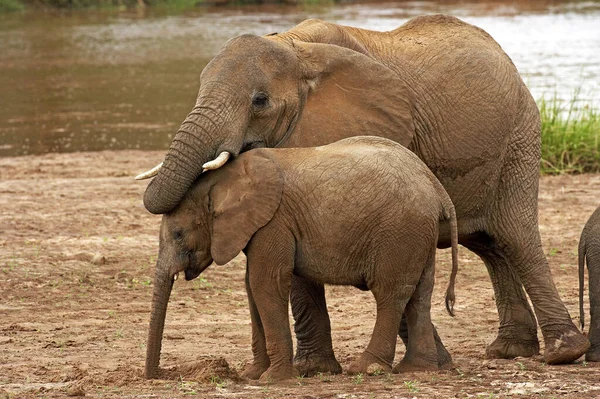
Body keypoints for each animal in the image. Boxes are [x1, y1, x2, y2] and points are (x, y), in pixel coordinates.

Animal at [145, 136, 460, 382]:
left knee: (390, 295)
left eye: (178, 235)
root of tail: (437, 189)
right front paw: (252, 375)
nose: (156, 375)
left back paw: (365, 369)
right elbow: (251, 287)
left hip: (399, 231)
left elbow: (265, 283)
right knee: (420, 294)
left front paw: (273, 379)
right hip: (418, 233)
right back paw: (417, 370)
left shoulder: (274, 220)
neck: (223, 181)